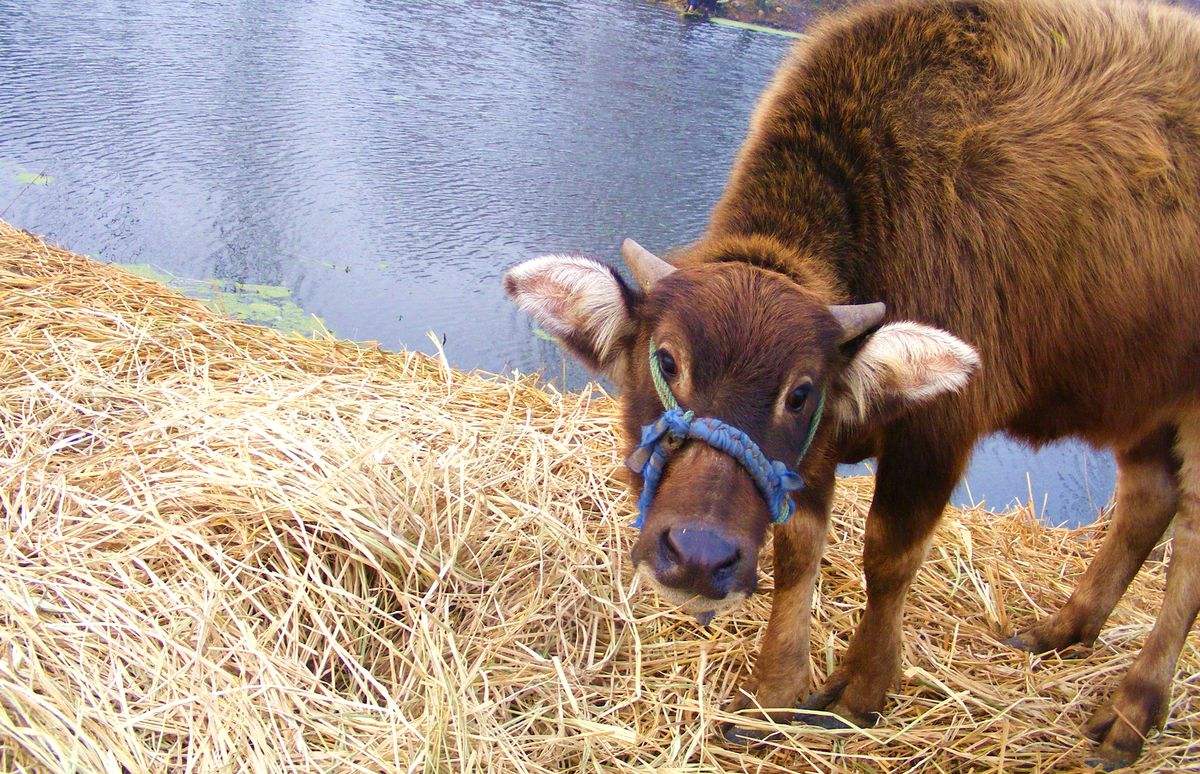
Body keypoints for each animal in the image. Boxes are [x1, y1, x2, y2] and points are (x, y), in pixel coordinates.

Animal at [504, 0, 1200, 763]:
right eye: (665, 361)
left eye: (800, 391)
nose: (699, 557)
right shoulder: (817, 452)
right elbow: (799, 548)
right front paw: (776, 691)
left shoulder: (936, 431)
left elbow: (888, 556)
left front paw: (862, 691)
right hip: (1143, 396)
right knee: (1149, 498)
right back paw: (1060, 630)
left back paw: (1132, 711)